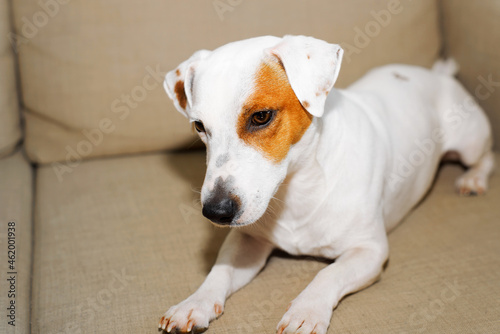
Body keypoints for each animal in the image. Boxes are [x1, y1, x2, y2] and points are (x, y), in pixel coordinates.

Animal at [159, 35, 492, 332]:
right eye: (199, 126)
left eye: (261, 116)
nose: (216, 212)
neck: (297, 190)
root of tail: (436, 74)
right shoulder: (248, 241)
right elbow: (220, 271)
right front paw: (195, 303)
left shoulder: (369, 250)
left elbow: (329, 274)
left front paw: (306, 310)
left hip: (470, 141)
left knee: (488, 156)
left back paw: (473, 178)